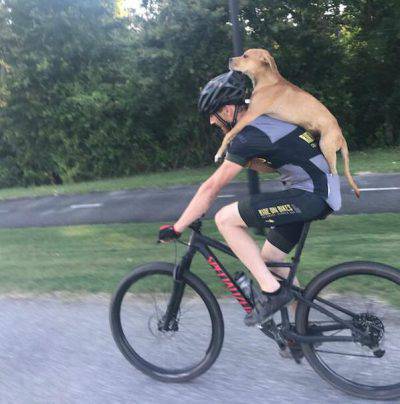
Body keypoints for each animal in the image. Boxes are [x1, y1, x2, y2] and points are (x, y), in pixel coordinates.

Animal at [217, 48, 360, 198]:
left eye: (245, 56)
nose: (229, 59)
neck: (267, 82)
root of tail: (341, 136)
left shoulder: (250, 114)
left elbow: (229, 134)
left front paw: (219, 153)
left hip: (327, 148)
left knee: (334, 173)